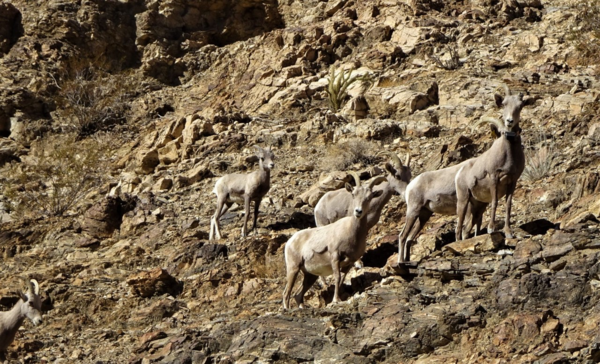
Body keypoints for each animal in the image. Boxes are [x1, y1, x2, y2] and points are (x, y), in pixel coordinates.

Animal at [284, 175, 386, 308]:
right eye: (353, 194)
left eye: (369, 197)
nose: (358, 211)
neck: (351, 232)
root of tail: (290, 242)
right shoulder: (335, 257)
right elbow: (337, 277)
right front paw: (336, 300)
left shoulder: (348, 263)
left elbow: (341, 279)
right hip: (293, 269)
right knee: (286, 293)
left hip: (310, 275)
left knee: (297, 294)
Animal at [454, 85, 536, 239]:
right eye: (504, 104)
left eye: (520, 106)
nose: (510, 121)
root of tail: (459, 173)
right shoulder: (494, 177)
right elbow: (495, 202)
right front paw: (491, 229)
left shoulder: (512, 181)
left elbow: (508, 205)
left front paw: (508, 232)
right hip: (463, 200)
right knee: (459, 226)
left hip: (477, 205)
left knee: (466, 229)